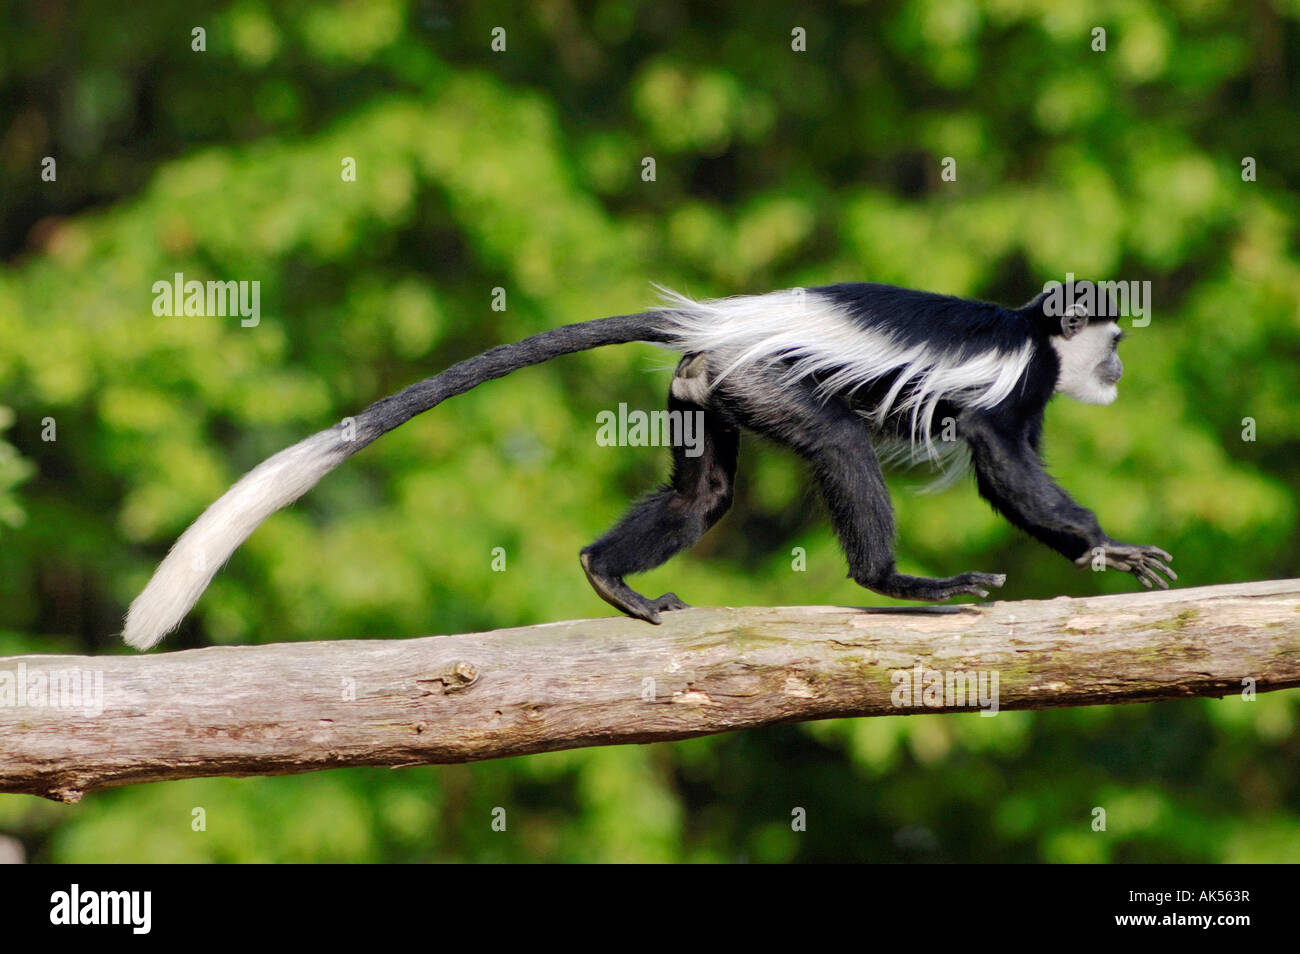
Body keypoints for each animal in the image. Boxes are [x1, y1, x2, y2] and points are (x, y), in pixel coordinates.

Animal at [122, 278, 1175, 649]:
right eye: (1116, 340)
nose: (1123, 370)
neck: (1034, 333)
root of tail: (724, 319)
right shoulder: (1015, 383)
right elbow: (999, 458)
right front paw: (1104, 545)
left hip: (707, 387)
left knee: (702, 492)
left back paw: (607, 576)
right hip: (765, 379)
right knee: (835, 444)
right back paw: (901, 583)